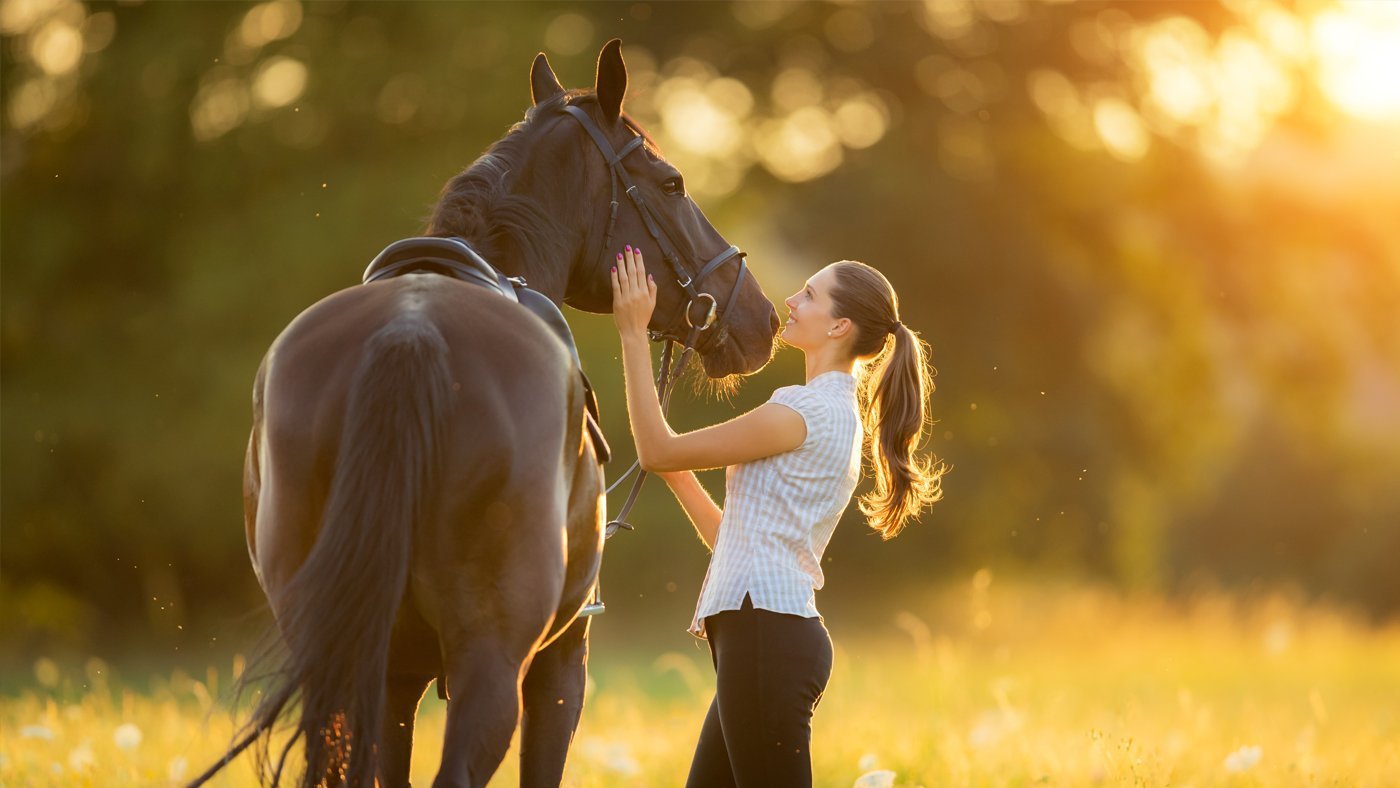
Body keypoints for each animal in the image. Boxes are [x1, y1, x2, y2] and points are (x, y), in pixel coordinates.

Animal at [204, 41, 784, 788]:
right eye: (673, 183)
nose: (761, 318)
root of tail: (410, 332)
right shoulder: (561, 662)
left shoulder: (396, 677)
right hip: (492, 664)